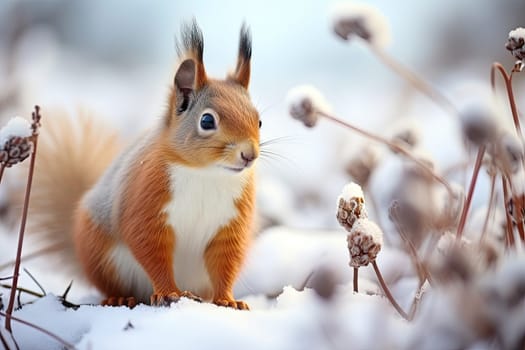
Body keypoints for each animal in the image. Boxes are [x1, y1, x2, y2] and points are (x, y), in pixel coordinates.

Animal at [29, 19, 258, 308]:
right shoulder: (146, 199)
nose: (249, 155)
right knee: (113, 284)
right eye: (207, 121)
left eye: (259, 120)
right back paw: (119, 297)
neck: (207, 174)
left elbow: (226, 262)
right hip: (103, 255)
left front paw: (228, 300)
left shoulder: (232, 223)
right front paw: (169, 292)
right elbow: (151, 249)